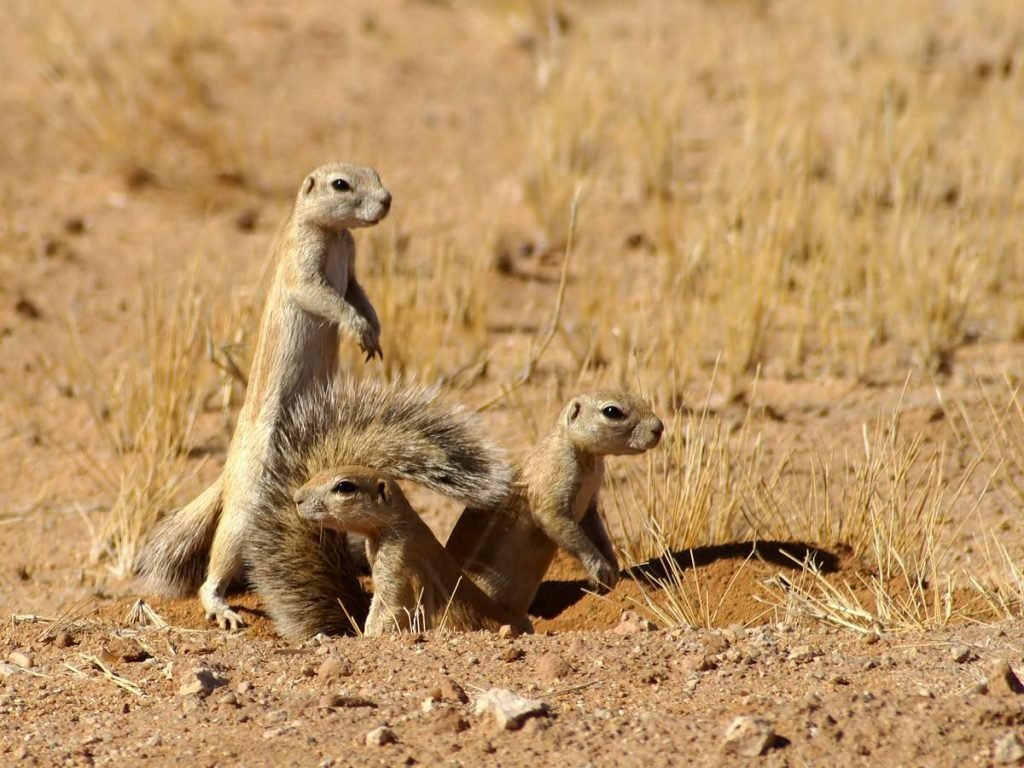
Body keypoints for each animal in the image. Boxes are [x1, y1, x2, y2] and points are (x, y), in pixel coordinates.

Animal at [136, 162, 391, 630]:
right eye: (340, 184)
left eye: (375, 173)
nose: (387, 200)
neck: (335, 234)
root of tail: (226, 476)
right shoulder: (302, 264)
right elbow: (323, 296)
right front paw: (357, 327)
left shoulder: (352, 267)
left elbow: (358, 292)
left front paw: (374, 333)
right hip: (245, 510)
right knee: (216, 564)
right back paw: (220, 607)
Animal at [446, 393, 663, 618]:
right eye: (612, 411)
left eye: (641, 399)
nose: (659, 428)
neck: (589, 460)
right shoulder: (554, 483)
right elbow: (556, 520)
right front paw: (600, 570)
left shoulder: (589, 506)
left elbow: (598, 532)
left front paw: (612, 563)